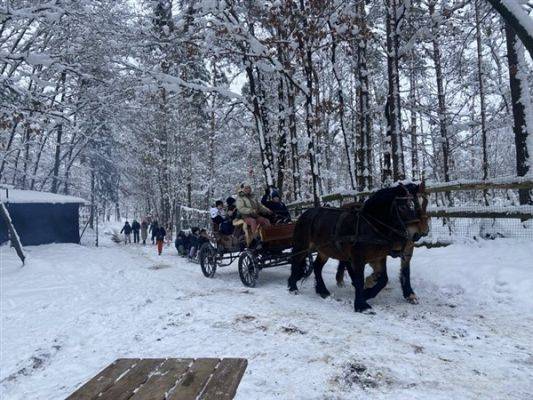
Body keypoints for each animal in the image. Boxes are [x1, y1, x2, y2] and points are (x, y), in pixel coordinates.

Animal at [286, 183, 428, 310]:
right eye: (403, 207)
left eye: (425, 203)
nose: (416, 234)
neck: (370, 225)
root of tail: (305, 213)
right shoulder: (358, 258)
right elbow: (359, 279)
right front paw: (361, 304)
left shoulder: (380, 257)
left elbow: (384, 279)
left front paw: (367, 293)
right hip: (302, 245)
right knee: (296, 262)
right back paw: (293, 288)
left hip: (324, 250)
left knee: (317, 266)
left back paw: (322, 290)